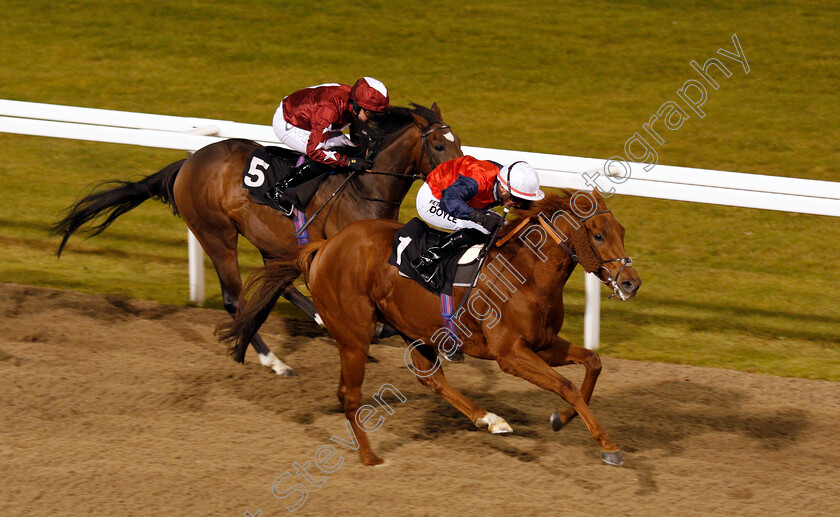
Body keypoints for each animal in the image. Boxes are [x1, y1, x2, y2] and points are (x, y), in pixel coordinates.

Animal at [54, 103, 460, 374]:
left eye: (458, 143)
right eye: (439, 146)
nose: (464, 179)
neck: (364, 188)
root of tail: (187, 163)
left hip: (270, 239)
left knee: (277, 284)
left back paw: (314, 323)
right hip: (215, 232)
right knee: (235, 299)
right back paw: (273, 360)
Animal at [220, 189, 640, 464]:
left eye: (622, 230)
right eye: (598, 234)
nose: (631, 283)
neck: (527, 274)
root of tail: (324, 246)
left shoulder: (542, 343)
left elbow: (592, 364)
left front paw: (561, 419)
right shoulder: (510, 354)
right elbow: (567, 386)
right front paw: (608, 445)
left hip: (413, 328)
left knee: (431, 378)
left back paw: (489, 419)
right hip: (354, 333)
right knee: (349, 394)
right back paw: (370, 457)